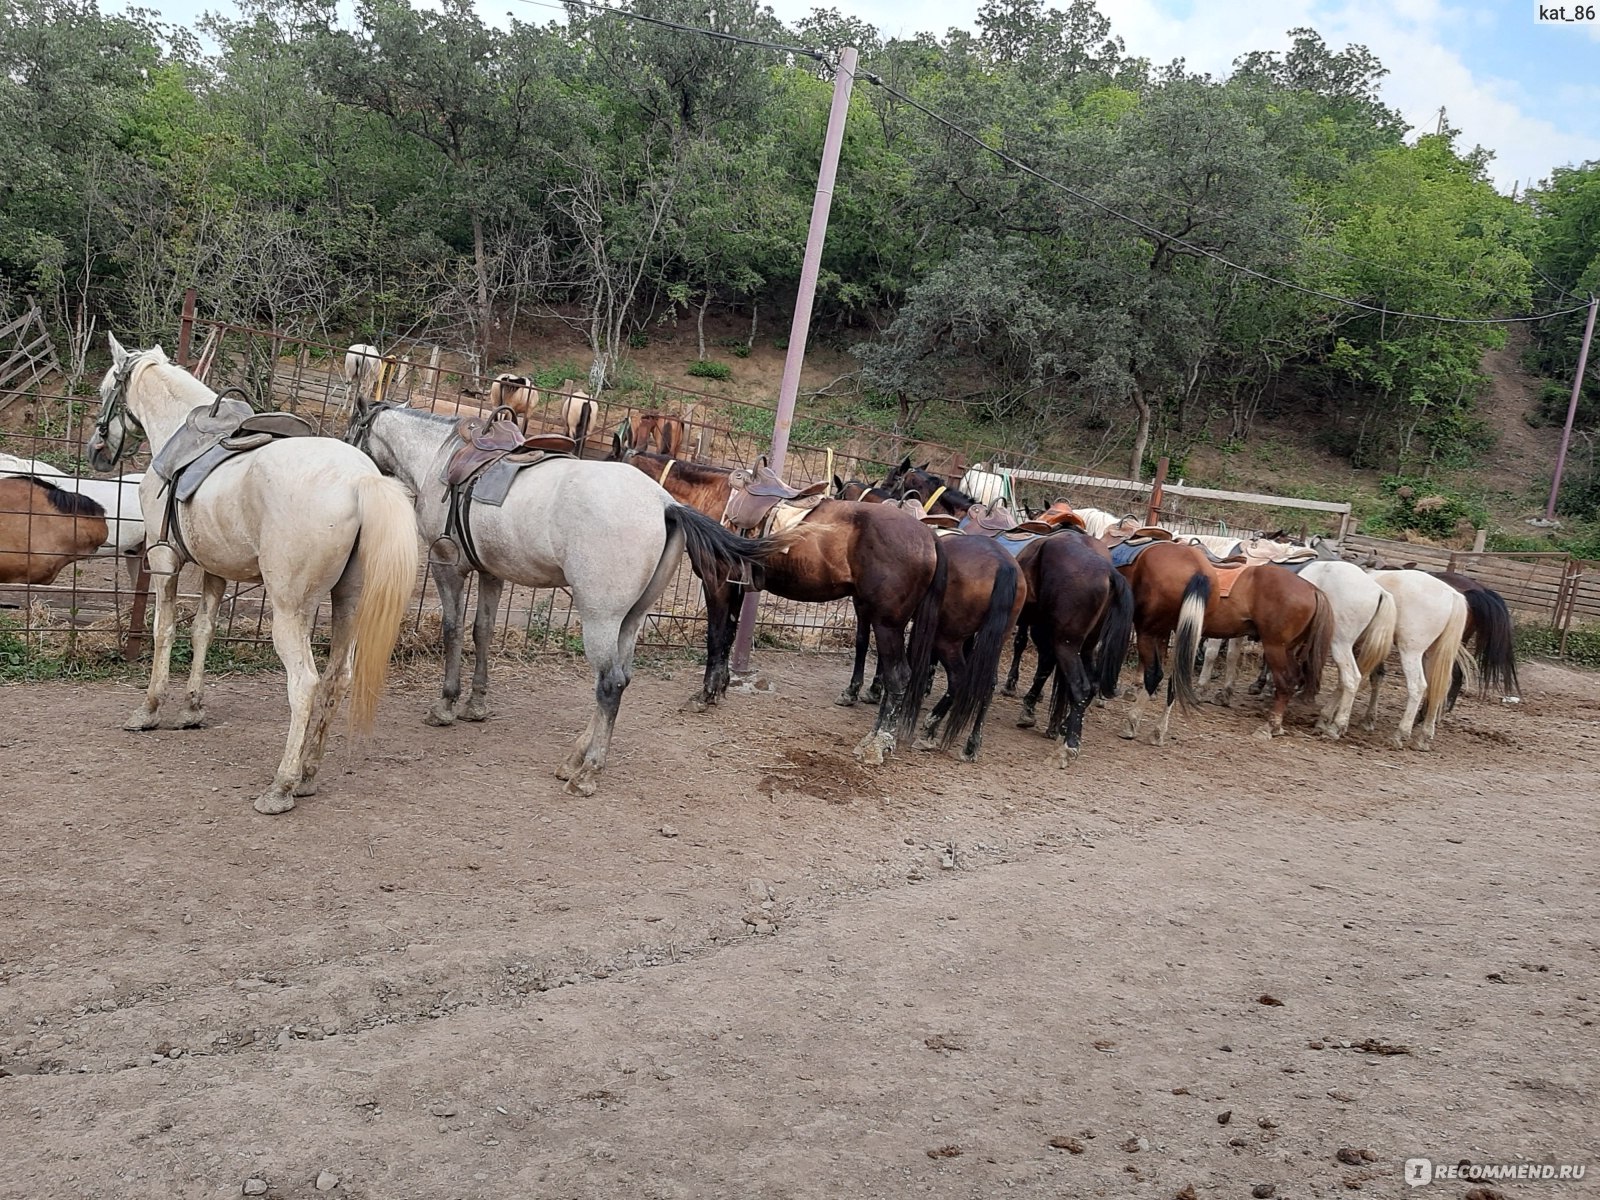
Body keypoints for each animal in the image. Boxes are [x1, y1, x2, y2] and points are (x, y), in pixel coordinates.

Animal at [87, 334, 419, 812]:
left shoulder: (164, 563)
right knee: (337, 679)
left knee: (305, 683)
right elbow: (203, 631)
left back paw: (281, 786)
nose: (96, 450)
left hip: (289, 612)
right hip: (348, 605)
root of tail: (361, 481)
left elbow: (163, 631)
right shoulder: (215, 571)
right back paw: (307, 776)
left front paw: (149, 710)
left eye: (104, 389)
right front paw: (191, 709)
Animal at [1011, 531, 1139, 764]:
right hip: (1085, 647)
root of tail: (1109, 573)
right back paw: (1064, 728)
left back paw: (1069, 745)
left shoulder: (1041, 632)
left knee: (1081, 687)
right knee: (1092, 685)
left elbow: (1036, 660)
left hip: (1067, 645)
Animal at [1113, 547, 1337, 752]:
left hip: (1275, 647)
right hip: (1287, 649)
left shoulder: (1151, 630)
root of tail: (1314, 590)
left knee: (1286, 682)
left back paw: (1269, 726)